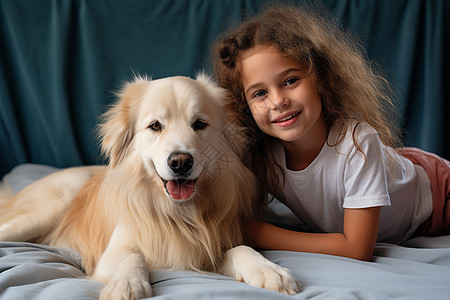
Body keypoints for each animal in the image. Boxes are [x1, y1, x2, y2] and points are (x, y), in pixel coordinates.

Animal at [1, 74, 302, 298]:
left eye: (200, 124)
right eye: (155, 126)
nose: (180, 162)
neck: (179, 214)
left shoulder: (209, 249)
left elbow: (240, 249)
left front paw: (268, 270)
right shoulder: (112, 254)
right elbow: (134, 256)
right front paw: (126, 284)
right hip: (48, 208)